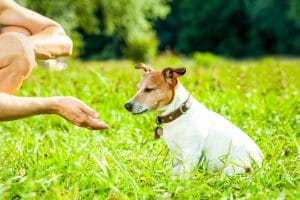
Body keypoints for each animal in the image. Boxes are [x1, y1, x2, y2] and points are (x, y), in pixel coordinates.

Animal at [124, 63, 262, 176]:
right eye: (137, 89)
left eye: (149, 89)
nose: (127, 105)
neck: (177, 114)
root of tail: (261, 164)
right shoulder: (175, 155)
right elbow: (173, 172)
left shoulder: (191, 153)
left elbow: (185, 176)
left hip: (231, 169)